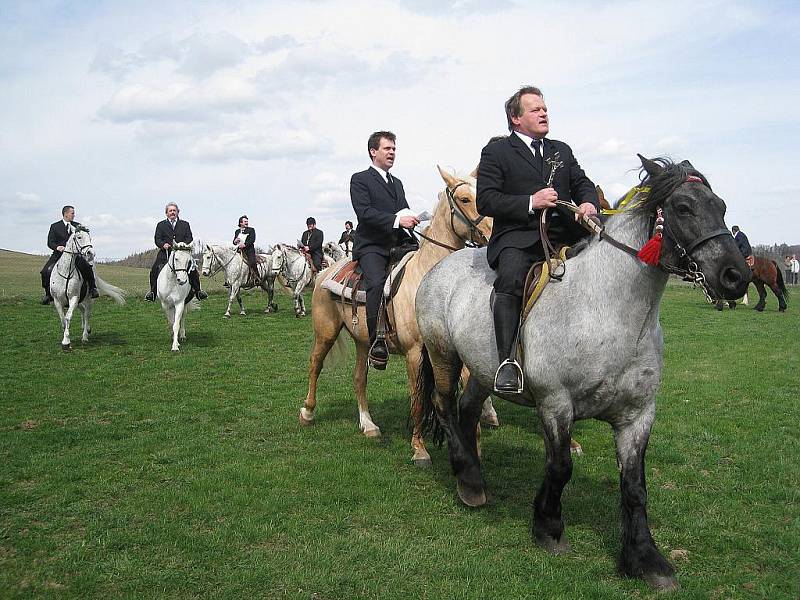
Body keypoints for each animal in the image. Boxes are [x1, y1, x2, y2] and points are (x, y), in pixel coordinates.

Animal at [296, 166, 490, 466]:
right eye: (465, 199)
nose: (494, 231)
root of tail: (326, 272)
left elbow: (469, 400)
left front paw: (475, 450)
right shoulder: (414, 352)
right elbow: (418, 399)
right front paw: (419, 449)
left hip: (364, 341)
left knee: (358, 378)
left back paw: (369, 425)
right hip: (326, 332)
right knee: (315, 364)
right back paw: (307, 412)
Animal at [416, 156, 752, 592]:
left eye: (721, 207)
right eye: (683, 208)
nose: (736, 277)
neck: (608, 312)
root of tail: (439, 267)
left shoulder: (637, 416)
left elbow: (635, 488)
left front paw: (646, 559)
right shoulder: (556, 403)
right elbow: (561, 467)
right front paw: (548, 527)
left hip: (483, 369)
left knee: (468, 408)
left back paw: (473, 475)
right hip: (443, 354)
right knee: (443, 405)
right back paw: (469, 481)